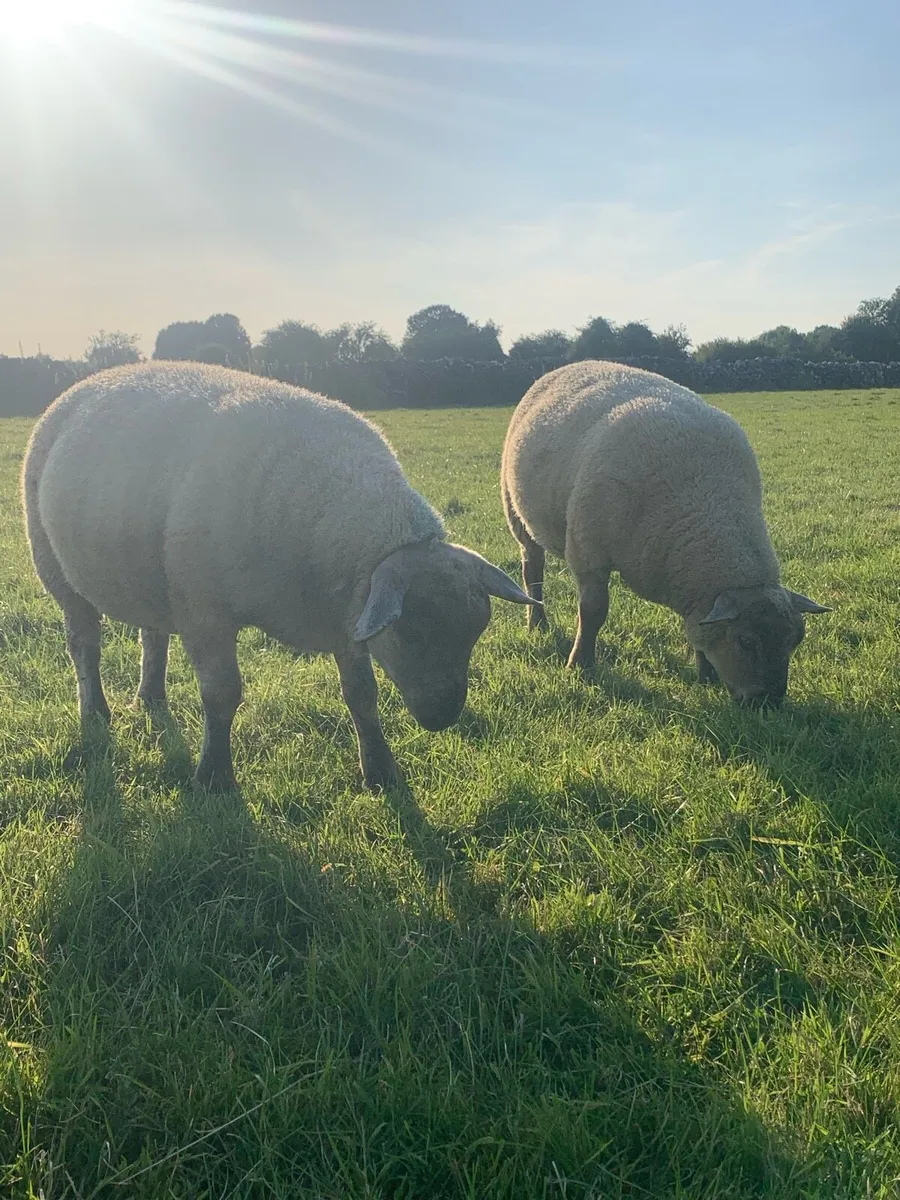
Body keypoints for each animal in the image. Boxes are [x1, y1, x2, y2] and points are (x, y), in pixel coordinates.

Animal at [22, 361, 533, 790]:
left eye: (477, 631)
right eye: (407, 633)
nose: (443, 717)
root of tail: (89, 380)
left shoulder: (349, 614)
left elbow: (362, 697)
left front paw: (381, 771)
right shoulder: (206, 611)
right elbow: (222, 694)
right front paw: (213, 779)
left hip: (156, 577)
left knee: (153, 633)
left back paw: (149, 698)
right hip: (56, 569)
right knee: (84, 645)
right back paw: (96, 713)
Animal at [501, 360, 828, 706]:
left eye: (796, 640)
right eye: (745, 641)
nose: (767, 703)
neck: (704, 501)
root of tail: (573, 364)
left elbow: (698, 627)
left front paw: (706, 676)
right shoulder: (588, 550)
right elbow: (592, 612)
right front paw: (580, 666)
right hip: (516, 511)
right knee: (533, 570)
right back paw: (537, 623)